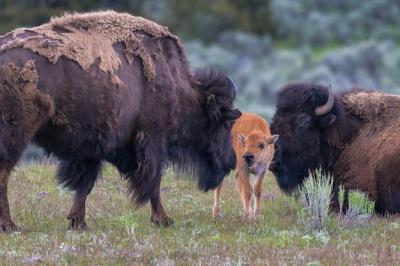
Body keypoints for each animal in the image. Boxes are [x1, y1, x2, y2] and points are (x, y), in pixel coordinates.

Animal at [0, 10, 239, 231]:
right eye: (225, 123)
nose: (231, 162)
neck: (177, 85)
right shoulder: (152, 140)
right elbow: (153, 183)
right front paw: (163, 220)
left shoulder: (90, 149)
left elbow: (84, 184)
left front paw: (78, 222)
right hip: (17, 134)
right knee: (4, 172)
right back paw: (10, 225)